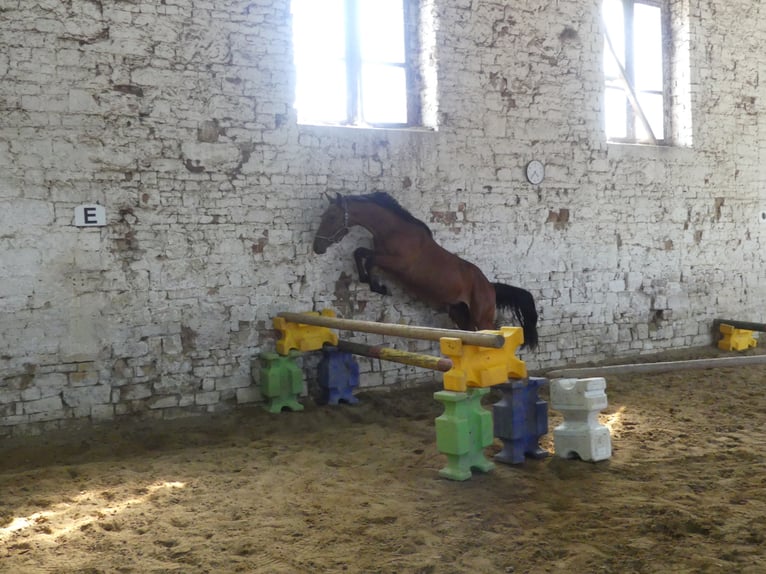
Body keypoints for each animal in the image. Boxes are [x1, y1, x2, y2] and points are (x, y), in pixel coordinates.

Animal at [312, 192, 540, 352]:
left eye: (331, 216)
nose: (317, 248)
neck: (395, 230)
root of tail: (490, 286)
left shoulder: (397, 263)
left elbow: (369, 260)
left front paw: (379, 287)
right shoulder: (380, 254)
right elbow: (359, 252)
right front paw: (370, 282)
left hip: (481, 316)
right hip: (459, 314)